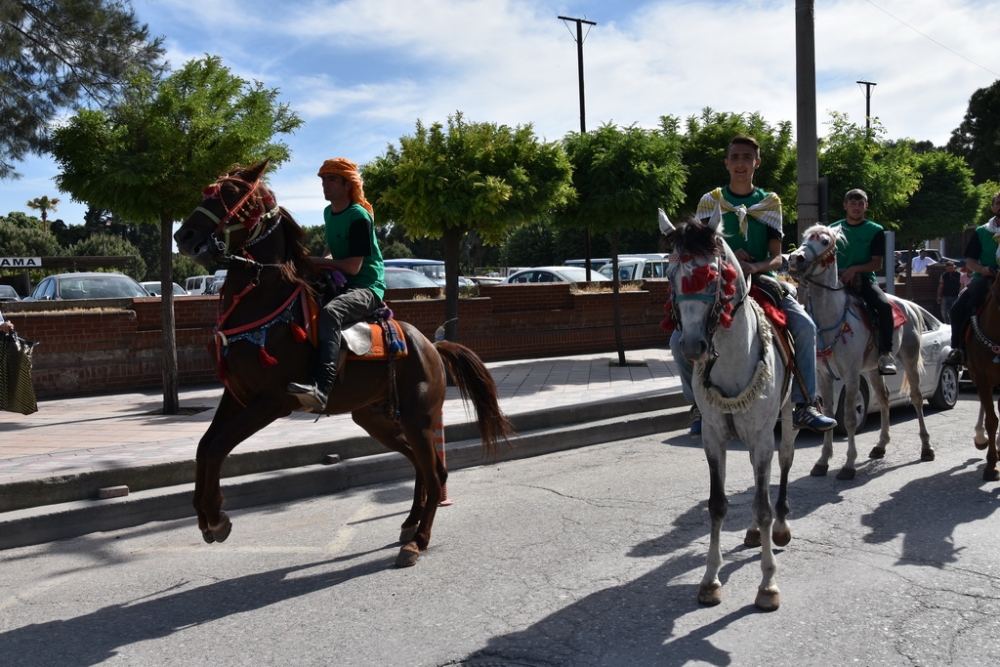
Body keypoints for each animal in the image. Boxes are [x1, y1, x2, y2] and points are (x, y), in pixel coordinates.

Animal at [172, 159, 512, 568]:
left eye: (232, 193)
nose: (185, 235)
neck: (262, 298)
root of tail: (431, 345)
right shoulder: (237, 396)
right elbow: (204, 445)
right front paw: (206, 515)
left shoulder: (272, 401)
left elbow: (218, 446)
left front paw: (216, 517)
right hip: (377, 418)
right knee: (422, 465)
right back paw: (410, 523)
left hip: (419, 418)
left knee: (434, 473)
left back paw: (419, 541)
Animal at [664, 209, 796, 612]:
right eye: (670, 274)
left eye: (713, 273)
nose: (693, 344)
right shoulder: (714, 436)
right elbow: (718, 505)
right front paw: (710, 579)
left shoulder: (762, 434)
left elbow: (763, 505)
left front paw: (768, 585)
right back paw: (753, 533)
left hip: (787, 414)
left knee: (784, 462)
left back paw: (780, 529)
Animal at [784, 224, 932, 480]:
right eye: (804, 238)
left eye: (824, 241)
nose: (795, 258)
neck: (830, 319)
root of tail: (910, 305)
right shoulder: (824, 376)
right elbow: (830, 414)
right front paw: (822, 461)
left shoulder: (851, 376)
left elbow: (850, 418)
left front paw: (848, 465)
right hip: (873, 369)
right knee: (883, 399)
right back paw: (880, 445)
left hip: (910, 359)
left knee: (916, 397)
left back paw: (926, 448)